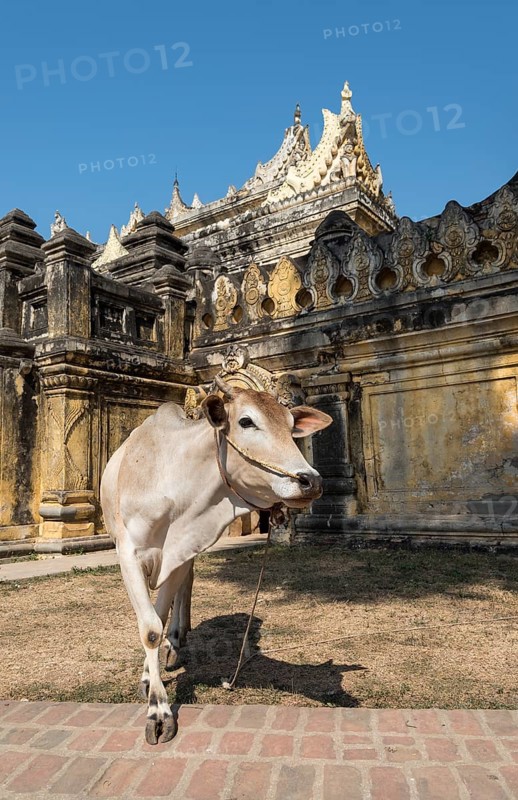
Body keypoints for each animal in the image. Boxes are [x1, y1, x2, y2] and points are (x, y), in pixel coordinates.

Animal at [100, 378, 332, 744]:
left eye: (291, 425)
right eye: (246, 421)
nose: (312, 480)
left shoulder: (179, 552)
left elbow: (159, 617)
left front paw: (155, 679)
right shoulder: (128, 554)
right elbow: (149, 629)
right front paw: (157, 709)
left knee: (185, 590)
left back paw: (177, 639)